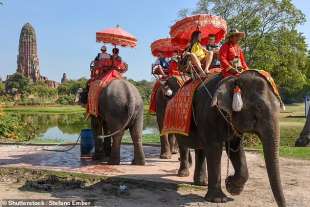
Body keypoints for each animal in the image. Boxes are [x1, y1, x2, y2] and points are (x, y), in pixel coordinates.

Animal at [174, 70, 286, 206]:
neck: (233, 78)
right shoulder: (208, 113)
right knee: (184, 145)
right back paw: (184, 174)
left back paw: (201, 183)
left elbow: (235, 148)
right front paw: (219, 199)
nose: (285, 205)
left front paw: (232, 187)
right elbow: (214, 148)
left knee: (200, 149)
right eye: (258, 108)